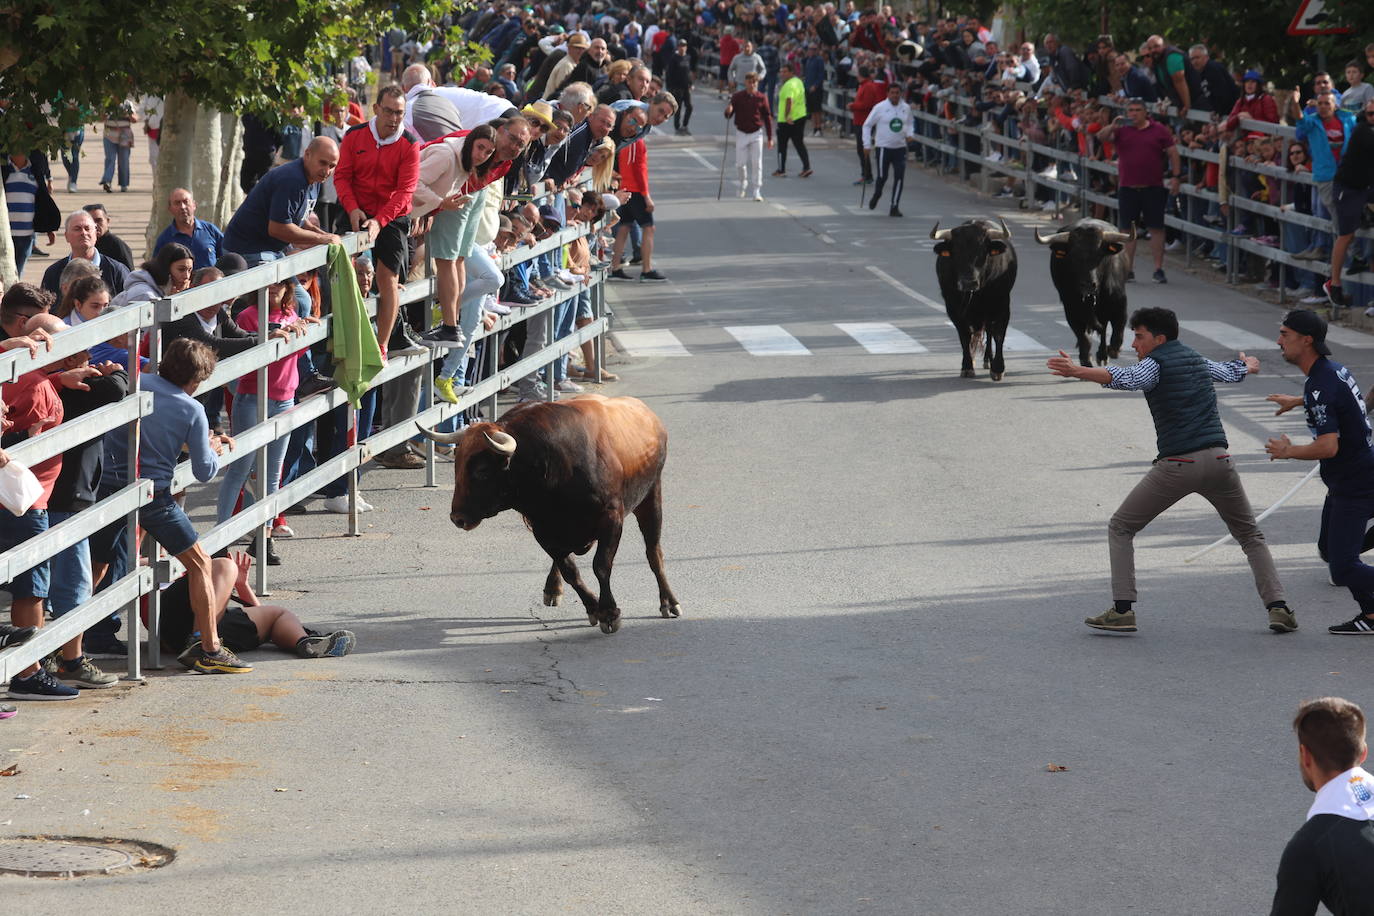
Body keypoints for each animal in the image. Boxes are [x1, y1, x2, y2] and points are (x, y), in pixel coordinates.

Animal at [412, 395, 681, 637]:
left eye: (482, 470)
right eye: (457, 465)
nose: (457, 517)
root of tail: (648, 415)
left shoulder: (611, 519)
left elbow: (601, 566)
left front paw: (609, 612)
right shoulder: (543, 529)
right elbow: (570, 571)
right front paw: (593, 608)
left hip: (651, 495)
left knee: (653, 552)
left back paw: (668, 601)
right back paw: (553, 588)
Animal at [928, 218, 1016, 379]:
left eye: (982, 252)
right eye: (956, 253)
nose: (969, 282)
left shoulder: (1002, 304)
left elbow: (999, 334)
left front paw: (998, 369)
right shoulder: (953, 308)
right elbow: (964, 336)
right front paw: (967, 366)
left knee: (989, 330)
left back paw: (988, 360)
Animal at [1033, 218, 1132, 365]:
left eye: (1100, 255)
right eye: (1073, 257)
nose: (1088, 285)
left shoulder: (1119, 301)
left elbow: (1117, 326)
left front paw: (1113, 350)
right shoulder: (1071, 307)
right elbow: (1083, 335)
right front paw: (1086, 358)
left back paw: (1103, 354)